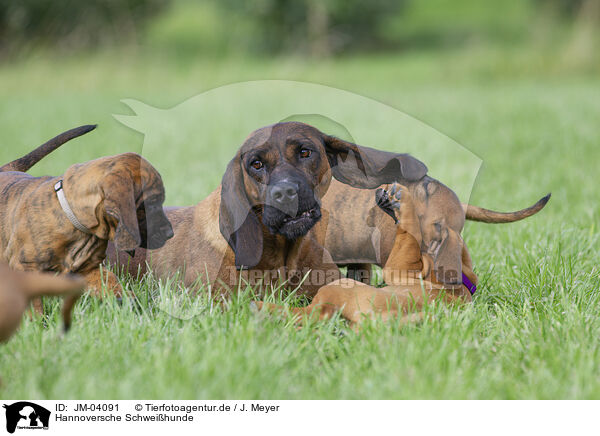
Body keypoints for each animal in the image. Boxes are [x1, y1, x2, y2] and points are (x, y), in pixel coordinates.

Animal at [0, 125, 173, 304]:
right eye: (152, 202)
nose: (170, 233)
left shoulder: (89, 269)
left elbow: (109, 282)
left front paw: (127, 300)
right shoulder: (25, 267)